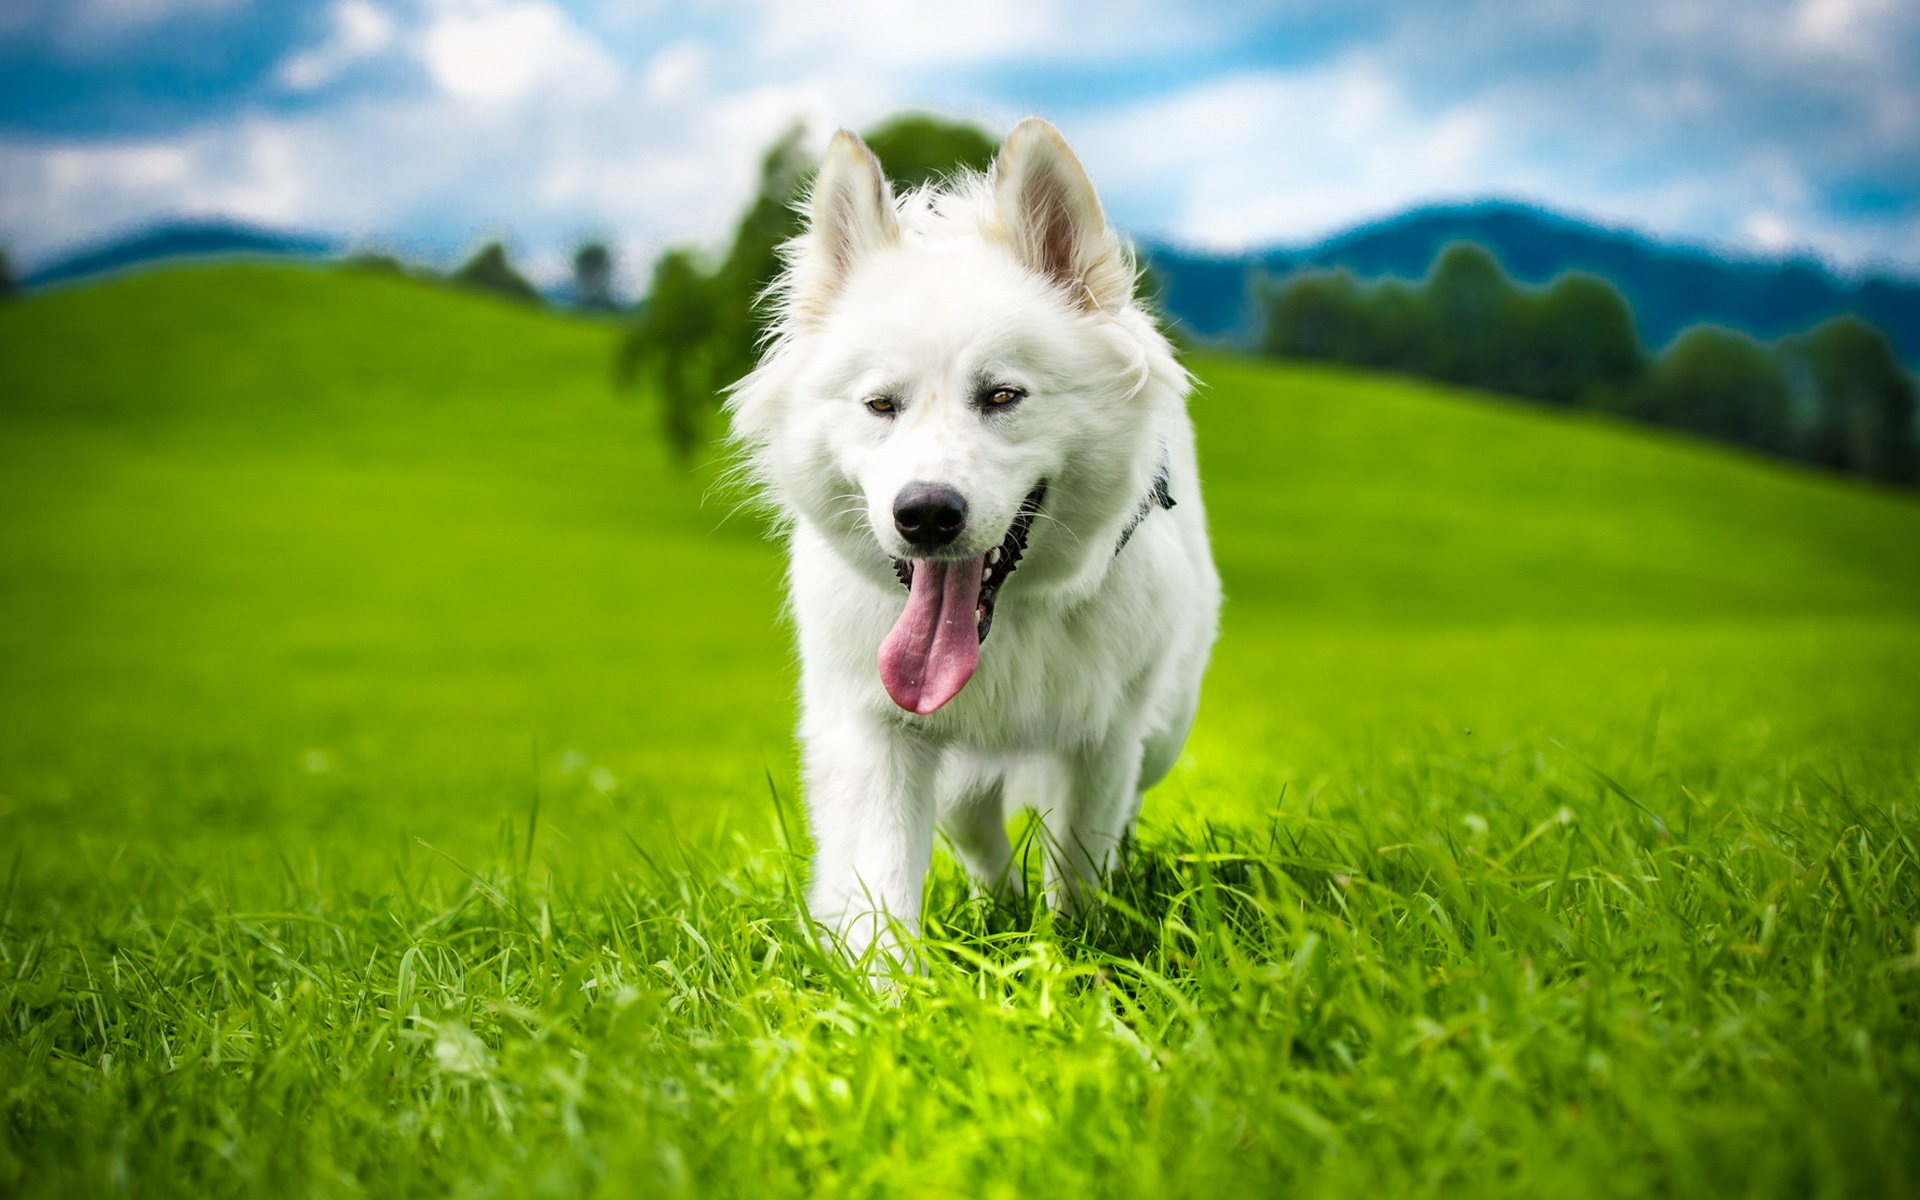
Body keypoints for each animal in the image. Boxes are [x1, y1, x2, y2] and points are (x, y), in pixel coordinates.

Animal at [725, 119, 1221, 963]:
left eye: (1002, 396)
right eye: (880, 405)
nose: (925, 514)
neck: (1007, 624)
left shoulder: (1103, 741)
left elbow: (1079, 867)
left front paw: (1076, 954)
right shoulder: (878, 731)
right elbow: (882, 887)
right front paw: (887, 987)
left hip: (1162, 731)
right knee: (976, 834)